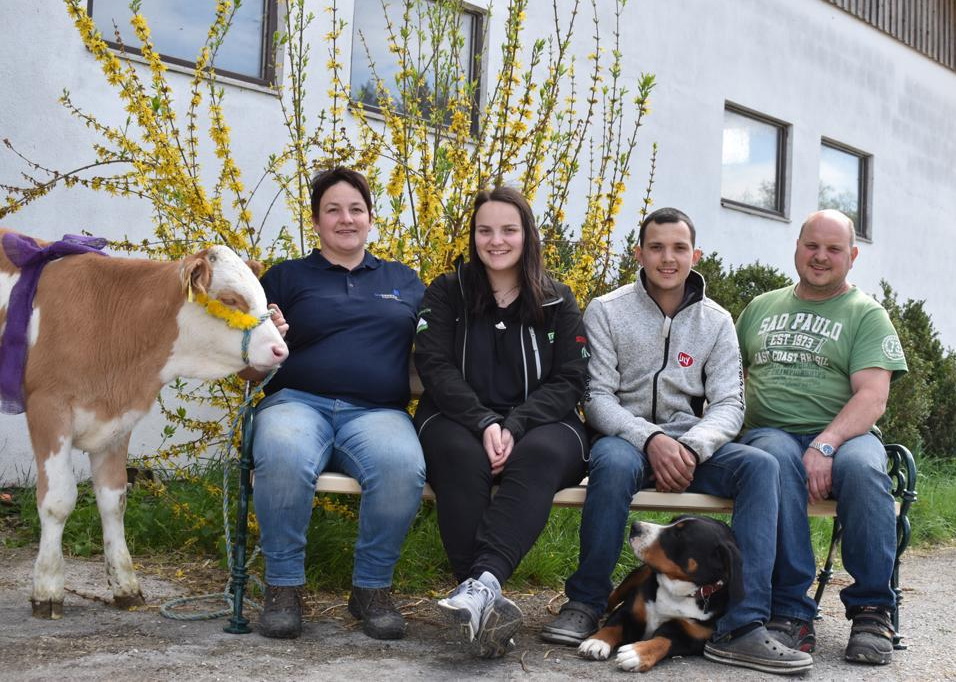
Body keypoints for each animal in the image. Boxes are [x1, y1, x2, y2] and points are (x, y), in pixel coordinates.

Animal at [0, 228, 288, 616]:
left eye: (262, 298)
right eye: (230, 299)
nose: (280, 350)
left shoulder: (117, 421)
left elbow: (114, 499)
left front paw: (125, 586)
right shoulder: (48, 408)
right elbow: (57, 500)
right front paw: (47, 590)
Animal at [580, 516, 744, 668]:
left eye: (679, 534)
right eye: (672, 521)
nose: (635, 526)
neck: (676, 592)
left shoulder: (693, 637)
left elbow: (662, 641)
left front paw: (636, 653)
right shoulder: (631, 610)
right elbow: (613, 625)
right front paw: (596, 641)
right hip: (638, 575)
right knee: (613, 597)